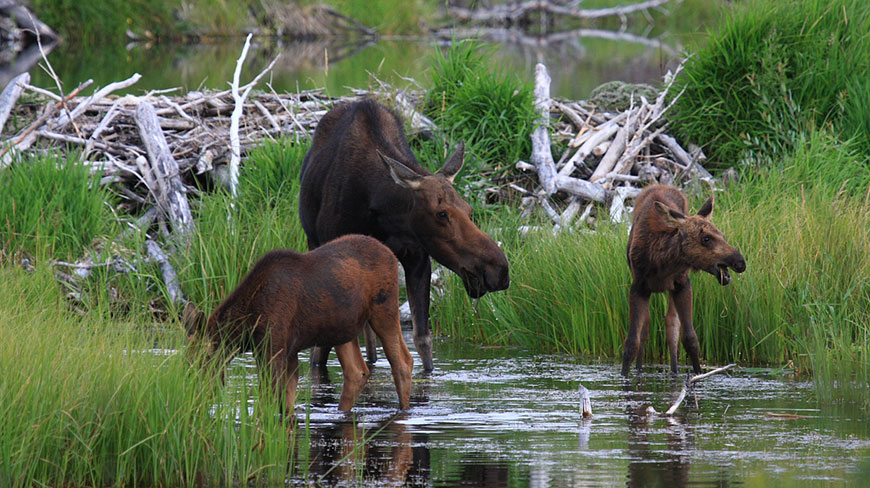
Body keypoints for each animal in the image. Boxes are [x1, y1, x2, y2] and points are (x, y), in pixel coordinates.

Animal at [183, 234, 412, 414]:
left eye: (203, 359)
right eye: (186, 359)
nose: (190, 393)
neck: (246, 330)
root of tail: (392, 255)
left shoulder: (274, 350)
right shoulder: (287, 353)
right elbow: (286, 406)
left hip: (384, 309)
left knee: (402, 361)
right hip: (343, 329)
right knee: (357, 371)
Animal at [298, 101, 508, 372]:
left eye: (469, 210)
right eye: (441, 213)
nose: (499, 270)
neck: (386, 215)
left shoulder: (418, 258)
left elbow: (423, 339)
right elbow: (320, 352)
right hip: (314, 242)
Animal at [620, 185, 748, 376]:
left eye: (722, 235)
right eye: (706, 238)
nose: (740, 262)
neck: (661, 264)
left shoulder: (682, 284)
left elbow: (690, 339)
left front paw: (698, 374)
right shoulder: (638, 286)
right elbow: (631, 343)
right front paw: (625, 376)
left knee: (671, 325)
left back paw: (674, 371)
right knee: (647, 325)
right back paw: (640, 369)